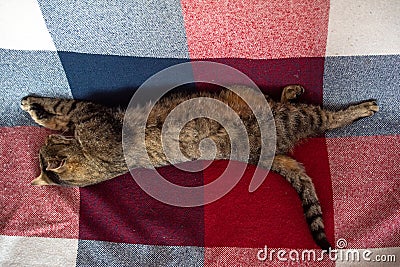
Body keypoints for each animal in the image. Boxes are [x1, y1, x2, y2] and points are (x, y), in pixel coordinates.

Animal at [21, 86, 378, 251]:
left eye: (44, 148)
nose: (46, 143)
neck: (92, 161)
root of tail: (260, 155)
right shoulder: (91, 114)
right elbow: (64, 107)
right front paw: (38, 109)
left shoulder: (89, 115)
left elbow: (60, 113)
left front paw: (37, 111)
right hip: (291, 117)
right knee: (325, 117)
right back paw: (357, 110)